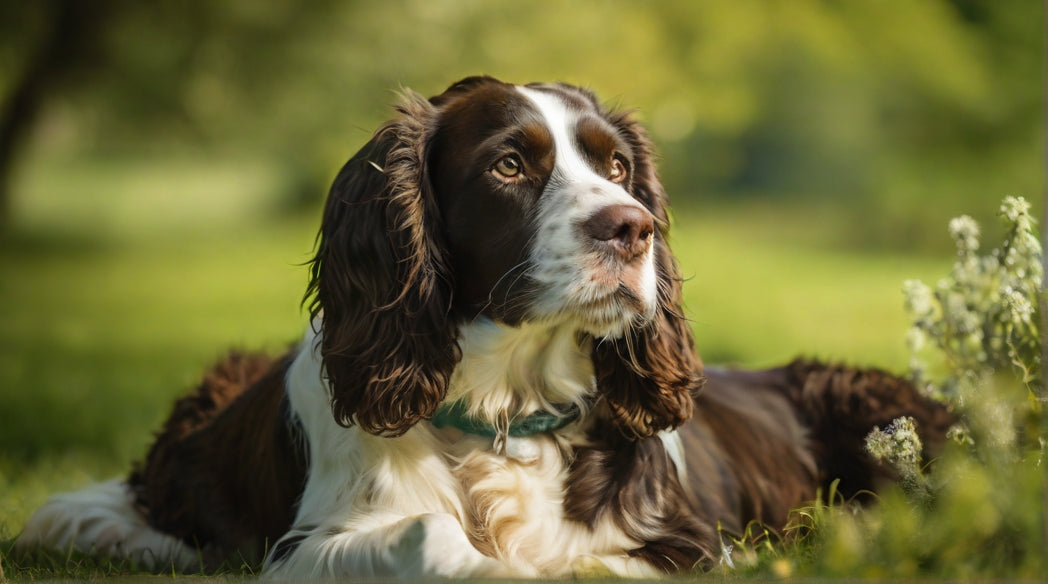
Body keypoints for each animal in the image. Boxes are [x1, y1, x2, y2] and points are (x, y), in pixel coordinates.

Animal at [14, 77, 951, 578]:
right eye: (508, 165)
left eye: (618, 166)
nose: (633, 227)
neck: (506, 407)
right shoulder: (306, 546)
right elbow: (426, 534)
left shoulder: (687, 543)